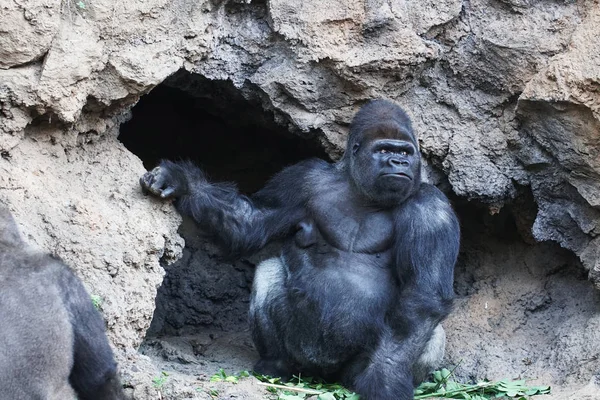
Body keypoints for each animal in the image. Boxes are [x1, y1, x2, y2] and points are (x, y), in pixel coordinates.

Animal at [141, 100, 460, 400]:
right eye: (384, 150)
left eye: (406, 153)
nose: (398, 162)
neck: (361, 190)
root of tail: (324, 376)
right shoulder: (303, 178)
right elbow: (249, 221)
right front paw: (182, 182)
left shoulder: (432, 207)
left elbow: (422, 297)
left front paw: (386, 381)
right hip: (304, 356)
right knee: (268, 271)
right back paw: (275, 365)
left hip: (350, 371)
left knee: (427, 331)